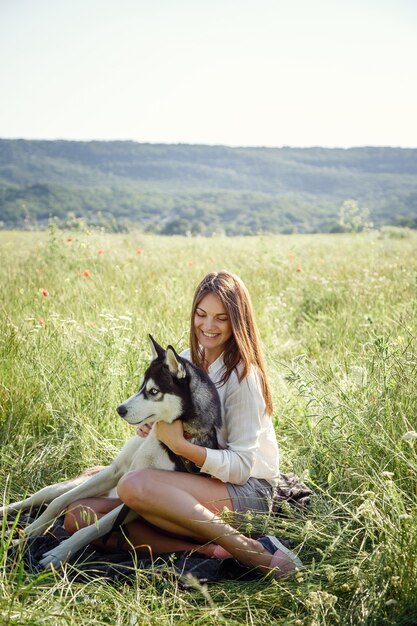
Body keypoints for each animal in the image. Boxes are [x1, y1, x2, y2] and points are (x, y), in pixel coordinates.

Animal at [0, 336, 221, 564]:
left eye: (154, 391)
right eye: (141, 386)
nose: (119, 409)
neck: (160, 440)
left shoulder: (134, 502)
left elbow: (91, 529)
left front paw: (58, 553)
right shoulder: (115, 472)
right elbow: (58, 503)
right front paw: (28, 533)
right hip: (68, 484)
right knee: (42, 498)